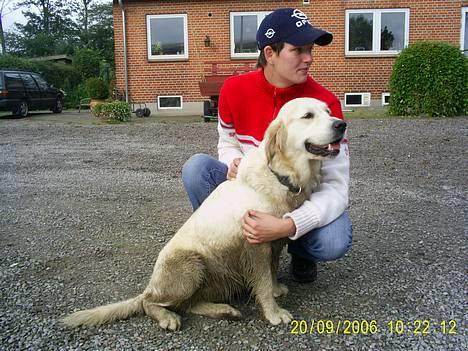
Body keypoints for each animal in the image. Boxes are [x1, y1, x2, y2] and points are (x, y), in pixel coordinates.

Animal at [64, 97, 346, 332]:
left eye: (328, 111)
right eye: (308, 115)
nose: (341, 124)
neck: (282, 175)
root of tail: (150, 286)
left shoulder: (273, 241)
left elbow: (272, 271)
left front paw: (276, 290)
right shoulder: (255, 243)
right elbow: (264, 282)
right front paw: (273, 313)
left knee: (189, 303)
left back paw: (224, 310)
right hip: (190, 266)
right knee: (151, 303)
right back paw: (168, 317)